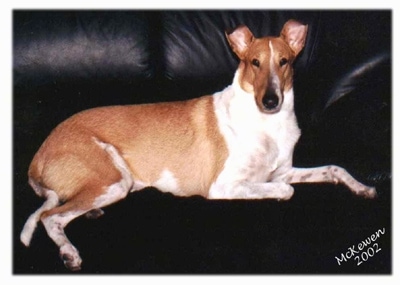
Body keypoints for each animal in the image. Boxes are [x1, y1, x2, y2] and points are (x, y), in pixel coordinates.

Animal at [19, 18, 376, 270]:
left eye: (285, 61)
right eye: (254, 62)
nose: (271, 101)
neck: (268, 125)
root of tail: (38, 156)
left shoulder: (283, 170)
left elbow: (333, 168)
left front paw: (362, 188)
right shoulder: (224, 186)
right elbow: (285, 191)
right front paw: (276, 196)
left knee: (63, 208)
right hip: (113, 179)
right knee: (50, 217)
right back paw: (69, 252)